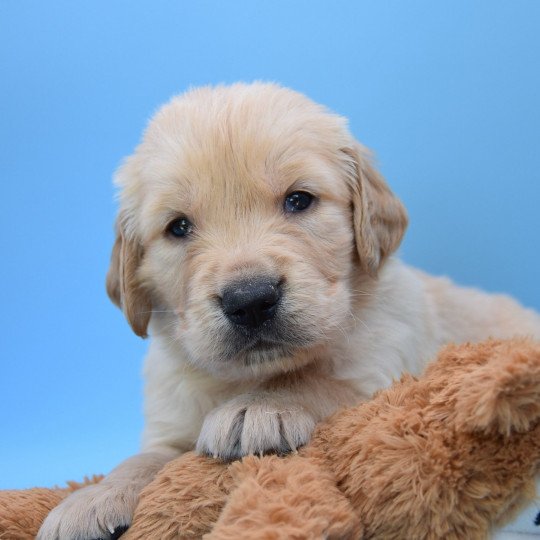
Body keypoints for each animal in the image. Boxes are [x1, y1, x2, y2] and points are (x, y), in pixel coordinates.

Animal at [37, 82, 540, 536]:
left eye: (299, 200)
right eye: (178, 227)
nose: (249, 300)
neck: (246, 377)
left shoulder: (385, 368)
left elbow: (318, 380)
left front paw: (259, 407)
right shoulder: (172, 418)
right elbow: (146, 456)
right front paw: (93, 498)